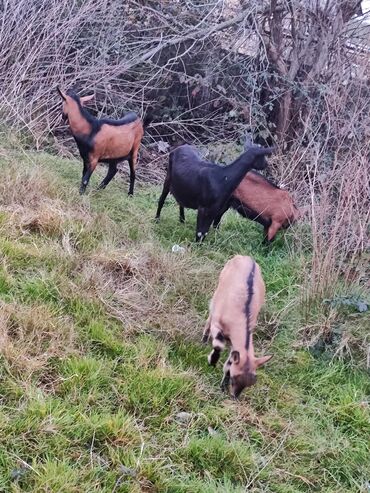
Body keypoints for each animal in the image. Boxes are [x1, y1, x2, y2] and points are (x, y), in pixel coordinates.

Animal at [202, 256, 272, 398]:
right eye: (234, 378)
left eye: (251, 383)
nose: (235, 396)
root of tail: (246, 258)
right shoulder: (218, 324)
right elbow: (218, 345)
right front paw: (212, 361)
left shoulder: (236, 346)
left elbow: (229, 363)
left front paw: (222, 387)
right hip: (218, 290)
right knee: (210, 314)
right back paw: (204, 339)